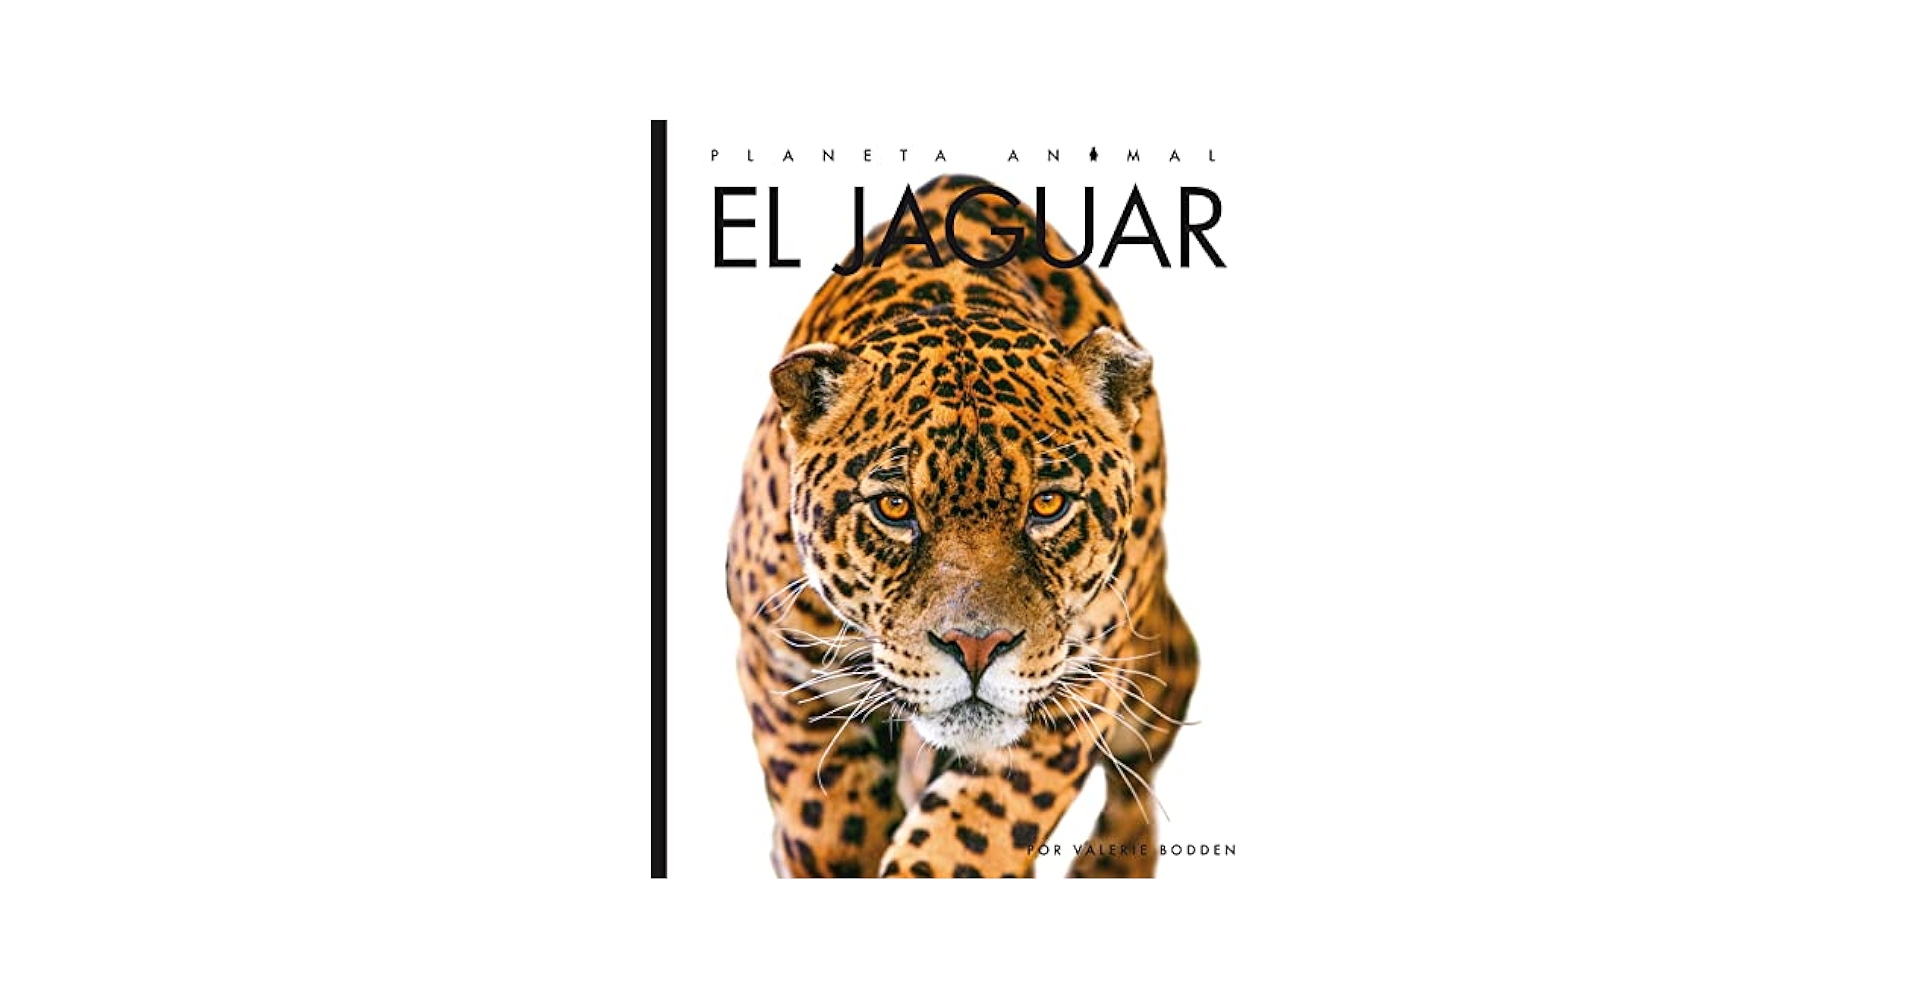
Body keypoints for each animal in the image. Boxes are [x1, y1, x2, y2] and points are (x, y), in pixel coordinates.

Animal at [725, 174, 1200, 877]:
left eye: (1048, 506)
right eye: (895, 510)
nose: (976, 647)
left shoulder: (1077, 685)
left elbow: (968, 837)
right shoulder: (782, 660)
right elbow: (825, 814)